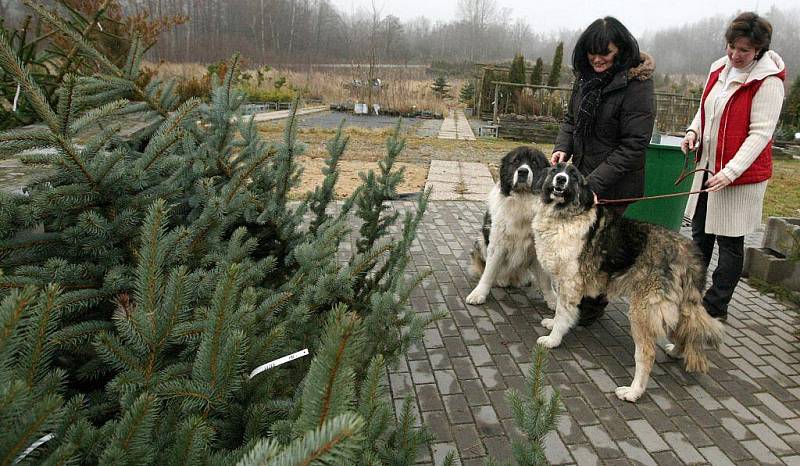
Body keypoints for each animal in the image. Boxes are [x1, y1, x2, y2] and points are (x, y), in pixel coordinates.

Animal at [462, 147, 556, 308]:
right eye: (516, 161)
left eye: (534, 162)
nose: (523, 172)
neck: (522, 200)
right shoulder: (497, 245)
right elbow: (488, 273)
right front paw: (478, 293)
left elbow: (545, 280)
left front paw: (552, 300)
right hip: (480, 240)